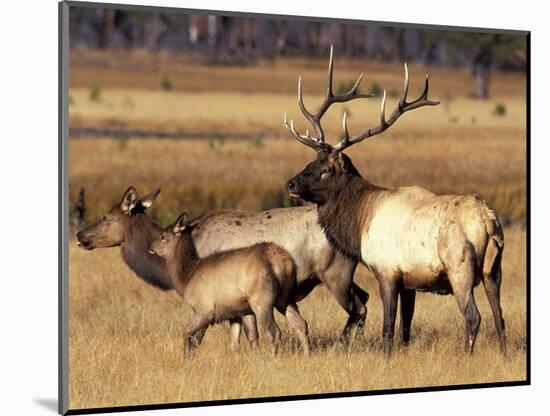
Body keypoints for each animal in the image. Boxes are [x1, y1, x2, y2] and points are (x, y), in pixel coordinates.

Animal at [149, 213, 312, 356]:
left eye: (162, 237)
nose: (150, 247)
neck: (186, 277)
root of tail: (283, 262)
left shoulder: (204, 309)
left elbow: (188, 334)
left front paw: (186, 358)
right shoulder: (241, 311)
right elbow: (249, 338)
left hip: (262, 299)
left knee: (273, 331)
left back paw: (273, 358)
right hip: (285, 298)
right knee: (301, 324)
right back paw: (307, 354)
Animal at [286, 46, 506, 358]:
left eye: (326, 168)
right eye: (310, 161)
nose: (291, 184)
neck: (361, 221)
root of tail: (488, 221)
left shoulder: (386, 271)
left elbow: (388, 327)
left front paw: (387, 358)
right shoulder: (409, 282)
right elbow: (406, 327)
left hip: (459, 266)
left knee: (473, 316)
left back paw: (467, 356)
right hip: (493, 268)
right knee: (500, 317)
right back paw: (503, 355)